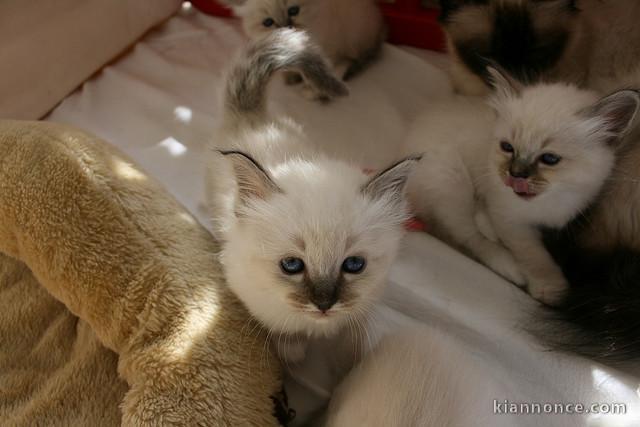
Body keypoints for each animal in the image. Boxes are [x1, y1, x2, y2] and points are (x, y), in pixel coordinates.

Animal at [202, 28, 418, 364]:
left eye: (354, 264)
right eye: (291, 265)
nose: (324, 305)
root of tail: (254, 116)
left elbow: (350, 340)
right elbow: (285, 335)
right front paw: (292, 353)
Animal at [220, 0, 384, 81]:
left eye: (293, 11)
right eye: (268, 22)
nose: (286, 27)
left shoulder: (329, 51)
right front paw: (291, 77)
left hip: (353, 36)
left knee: (352, 61)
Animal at [404, 67, 640, 304]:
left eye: (550, 159)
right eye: (507, 147)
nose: (515, 174)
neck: (550, 200)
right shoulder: (510, 219)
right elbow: (534, 256)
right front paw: (552, 289)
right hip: (451, 177)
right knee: (465, 236)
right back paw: (510, 268)